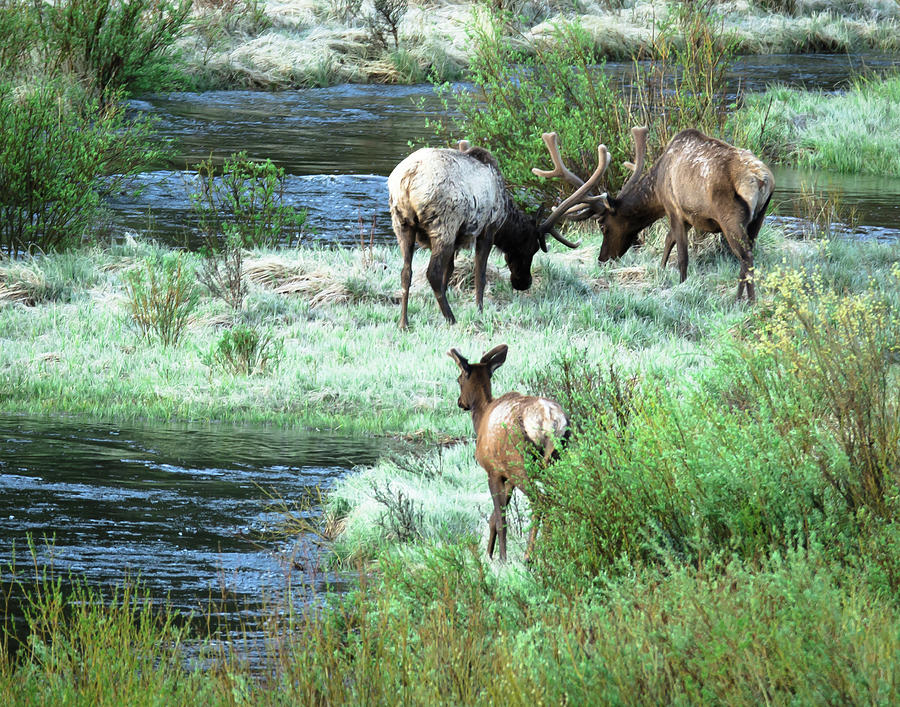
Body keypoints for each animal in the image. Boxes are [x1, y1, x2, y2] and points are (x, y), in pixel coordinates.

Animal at [390, 146, 580, 332]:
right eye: (532, 247)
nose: (524, 282)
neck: (505, 216)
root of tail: (409, 178)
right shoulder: (488, 230)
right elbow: (479, 276)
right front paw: (479, 311)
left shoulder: (457, 240)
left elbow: (449, 272)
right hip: (444, 226)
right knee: (432, 273)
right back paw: (451, 318)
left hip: (402, 224)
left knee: (406, 272)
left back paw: (403, 323)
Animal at [448, 344, 568, 564]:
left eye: (459, 379)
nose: (460, 402)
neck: (481, 418)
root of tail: (550, 419)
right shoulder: (507, 477)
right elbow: (493, 518)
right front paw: (489, 553)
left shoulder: (493, 470)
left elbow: (500, 518)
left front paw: (501, 557)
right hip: (558, 459)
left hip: (520, 463)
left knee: (540, 500)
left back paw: (530, 556)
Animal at [536, 126, 772, 300]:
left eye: (603, 225)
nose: (602, 259)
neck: (657, 188)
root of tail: (762, 180)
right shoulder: (687, 216)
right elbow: (668, 241)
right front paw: (661, 269)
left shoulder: (674, 208)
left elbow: (682, 255)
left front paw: (681, 285)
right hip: (758, 219)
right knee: (747, 256)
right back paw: (740, 297)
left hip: (730, 218)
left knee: (746, 257)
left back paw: (748, 301)